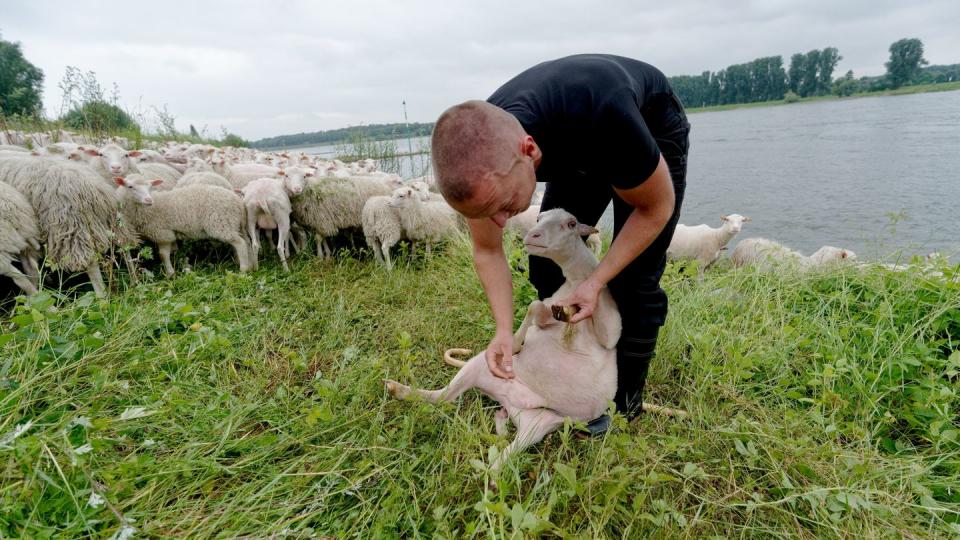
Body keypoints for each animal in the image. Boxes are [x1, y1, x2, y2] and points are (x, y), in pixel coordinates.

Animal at [114, 176, 251, 278]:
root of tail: (239, 203)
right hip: (234, 225)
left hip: (222, 224)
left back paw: (243, 270)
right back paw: (246, 263)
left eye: (150, 187)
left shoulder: (163, 234)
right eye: (130, 187)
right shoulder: (169, 234)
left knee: (240, 243)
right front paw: (182, 266)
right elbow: (174, 251)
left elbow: (163, 254)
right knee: (244, 243)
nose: (148, 200)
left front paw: (170, 274)